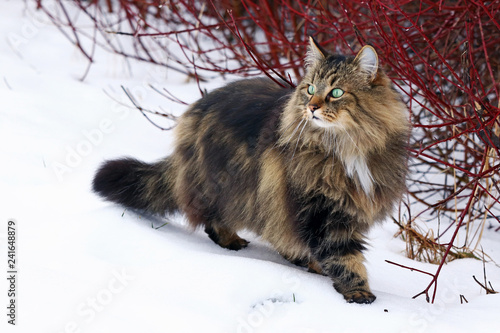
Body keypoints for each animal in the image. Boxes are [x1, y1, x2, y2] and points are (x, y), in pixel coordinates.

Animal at [93, 37, 410, 304]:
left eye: (336, 92)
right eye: (310, 89)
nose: (311, 107)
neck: (344, 148)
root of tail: (193, 113)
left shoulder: (343, 208)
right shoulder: (321, 210)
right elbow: (343, 256)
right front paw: (357, 290)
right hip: (224, 187)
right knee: (214, 220)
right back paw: (232, 241)